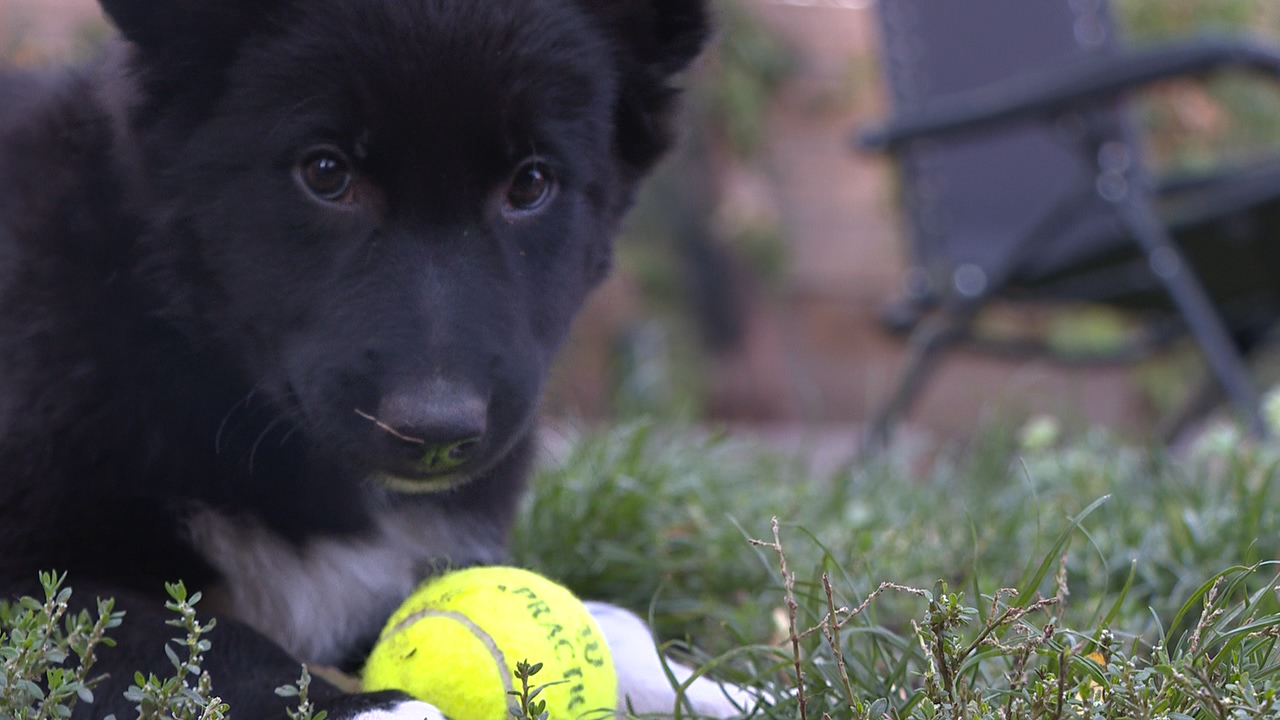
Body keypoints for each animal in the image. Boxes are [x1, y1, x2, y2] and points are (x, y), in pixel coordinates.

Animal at [0, 2, 742, 712]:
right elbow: (197, 643)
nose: (435, 435)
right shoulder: (33, 575)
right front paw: (381, 705)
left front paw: (721, 689)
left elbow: (613, 620)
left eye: (531, 184)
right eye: (326, 172)